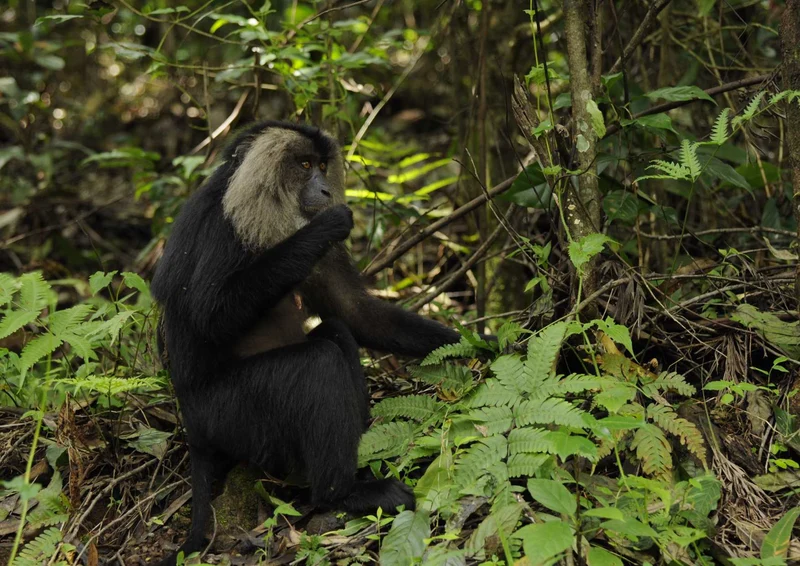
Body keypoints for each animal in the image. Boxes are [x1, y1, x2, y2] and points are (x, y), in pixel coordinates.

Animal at [150, 121, 463, 565]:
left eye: (321, 165)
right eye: (303, 165)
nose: (326, 190)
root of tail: (193, 427)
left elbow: (354, 313)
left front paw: (479, 345)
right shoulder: (221, 227)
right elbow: (211, 315)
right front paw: (327, 225)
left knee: (336, 334)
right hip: (230, 415)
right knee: (318, 362)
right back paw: (341, 495)